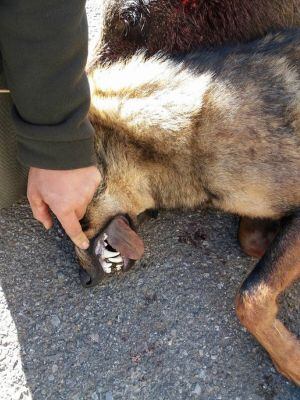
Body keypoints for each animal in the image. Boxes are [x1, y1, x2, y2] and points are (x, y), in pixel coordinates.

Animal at [78, 28, 300, 384]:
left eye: (72, 217)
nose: (82, 280)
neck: (191, 131)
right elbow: (251, 241)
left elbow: (250, 297)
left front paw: (290, 360)